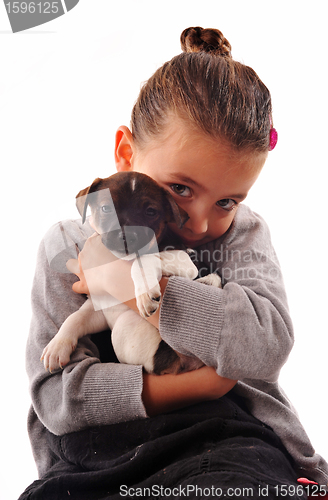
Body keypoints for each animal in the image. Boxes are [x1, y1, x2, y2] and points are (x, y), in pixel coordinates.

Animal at [40, 172, 220, 376]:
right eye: (106, 208)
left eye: (151, 211)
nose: (126, 236)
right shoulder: (100, 309)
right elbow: (74, 318)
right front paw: (57, 345)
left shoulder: (187, 261)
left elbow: (142, 259)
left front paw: (145, 292)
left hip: (125, 327)